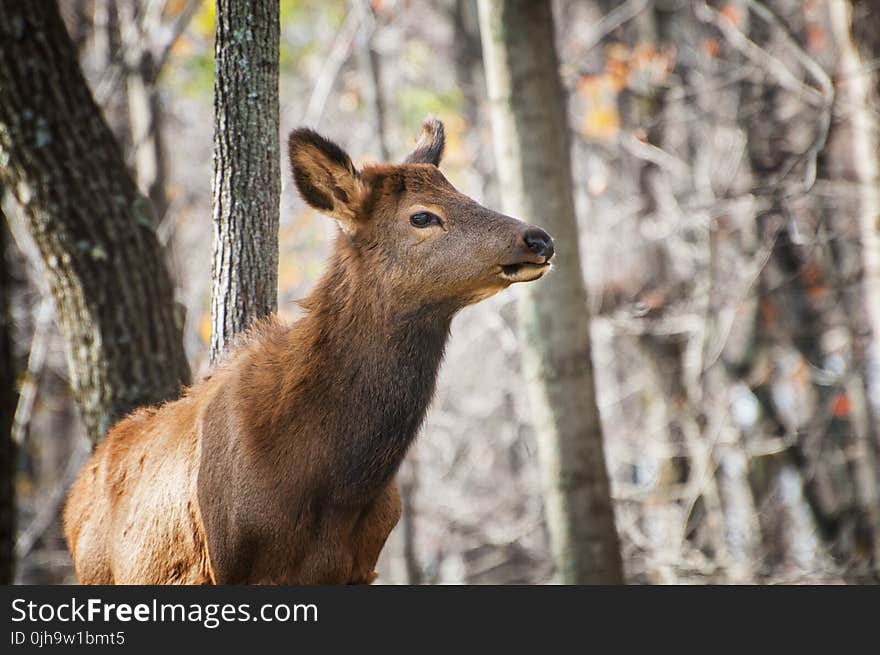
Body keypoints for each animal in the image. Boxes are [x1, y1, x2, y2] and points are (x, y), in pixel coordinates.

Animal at [65, 120, 552, 588]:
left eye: (463, 194)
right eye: (422, 216)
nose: (539, 238)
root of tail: (74, 499)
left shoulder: (359, 568)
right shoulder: (226, 566)